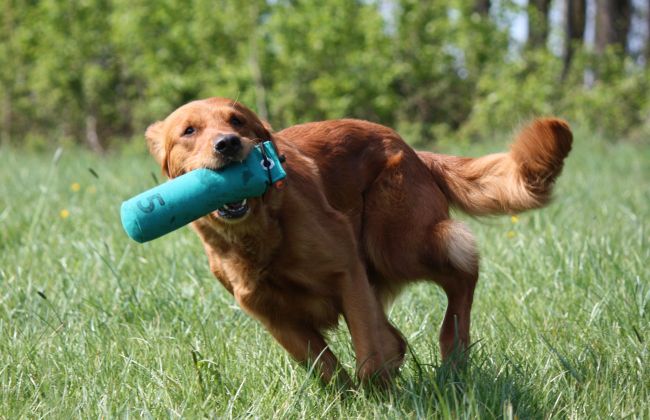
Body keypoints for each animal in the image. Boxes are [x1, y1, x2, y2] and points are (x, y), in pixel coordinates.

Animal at [144, 97, 568, 386]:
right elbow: (325, 365)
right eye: (188, 131)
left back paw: (452, 351)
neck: (260, 233)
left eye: (238, 121)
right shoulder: (269, 311)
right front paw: (351, 397)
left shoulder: (346, 271)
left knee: (463, 271)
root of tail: (411, 149)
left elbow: (369, 351)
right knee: (401, 331)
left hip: (396, 244)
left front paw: (378, 394)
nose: (229, 144)